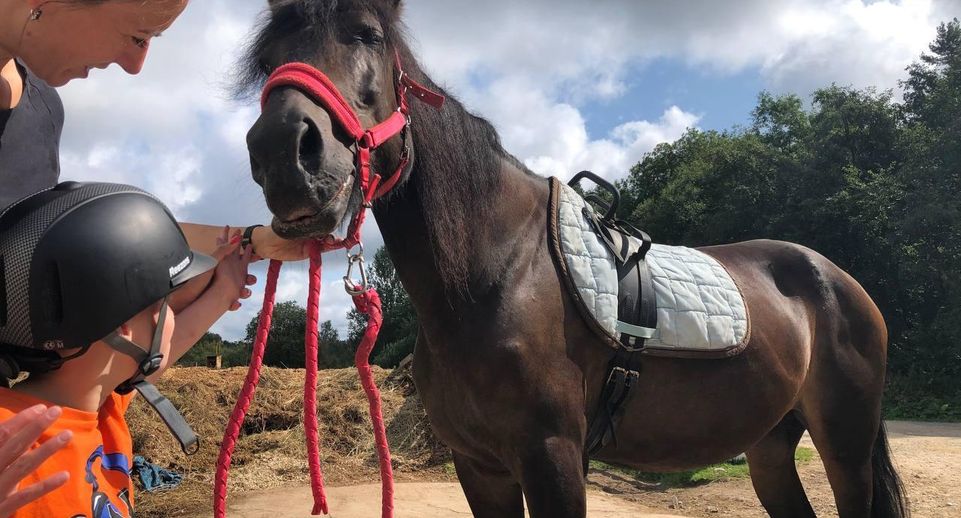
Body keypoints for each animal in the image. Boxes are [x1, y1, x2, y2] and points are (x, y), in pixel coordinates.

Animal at [238, 2, 908, 516]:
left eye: (367, 35)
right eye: (267, 61)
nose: (284, 155)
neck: (494, 274)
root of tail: (842, 283)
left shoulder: (553, 457)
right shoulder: (479, 468)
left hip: (844, 446)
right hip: (771, 445)